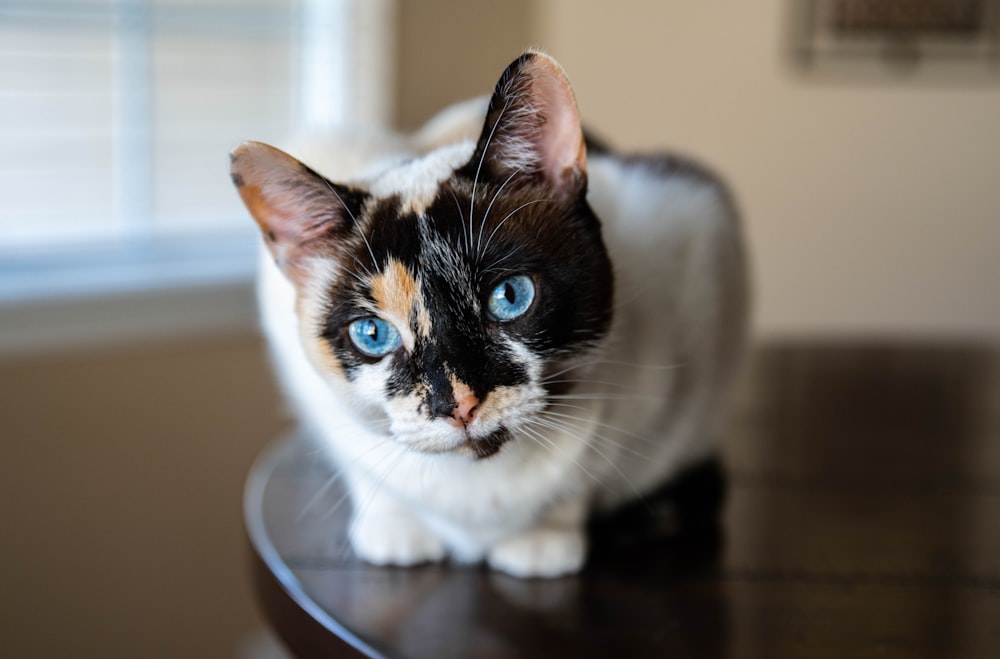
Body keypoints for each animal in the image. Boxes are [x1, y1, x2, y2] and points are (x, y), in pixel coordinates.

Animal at [232, 50, 752, 576]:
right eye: (373, 333)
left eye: (509, 296)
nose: (458, 406)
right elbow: (361, 465)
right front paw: (395, 530)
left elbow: (587, 475)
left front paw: (543, 540)